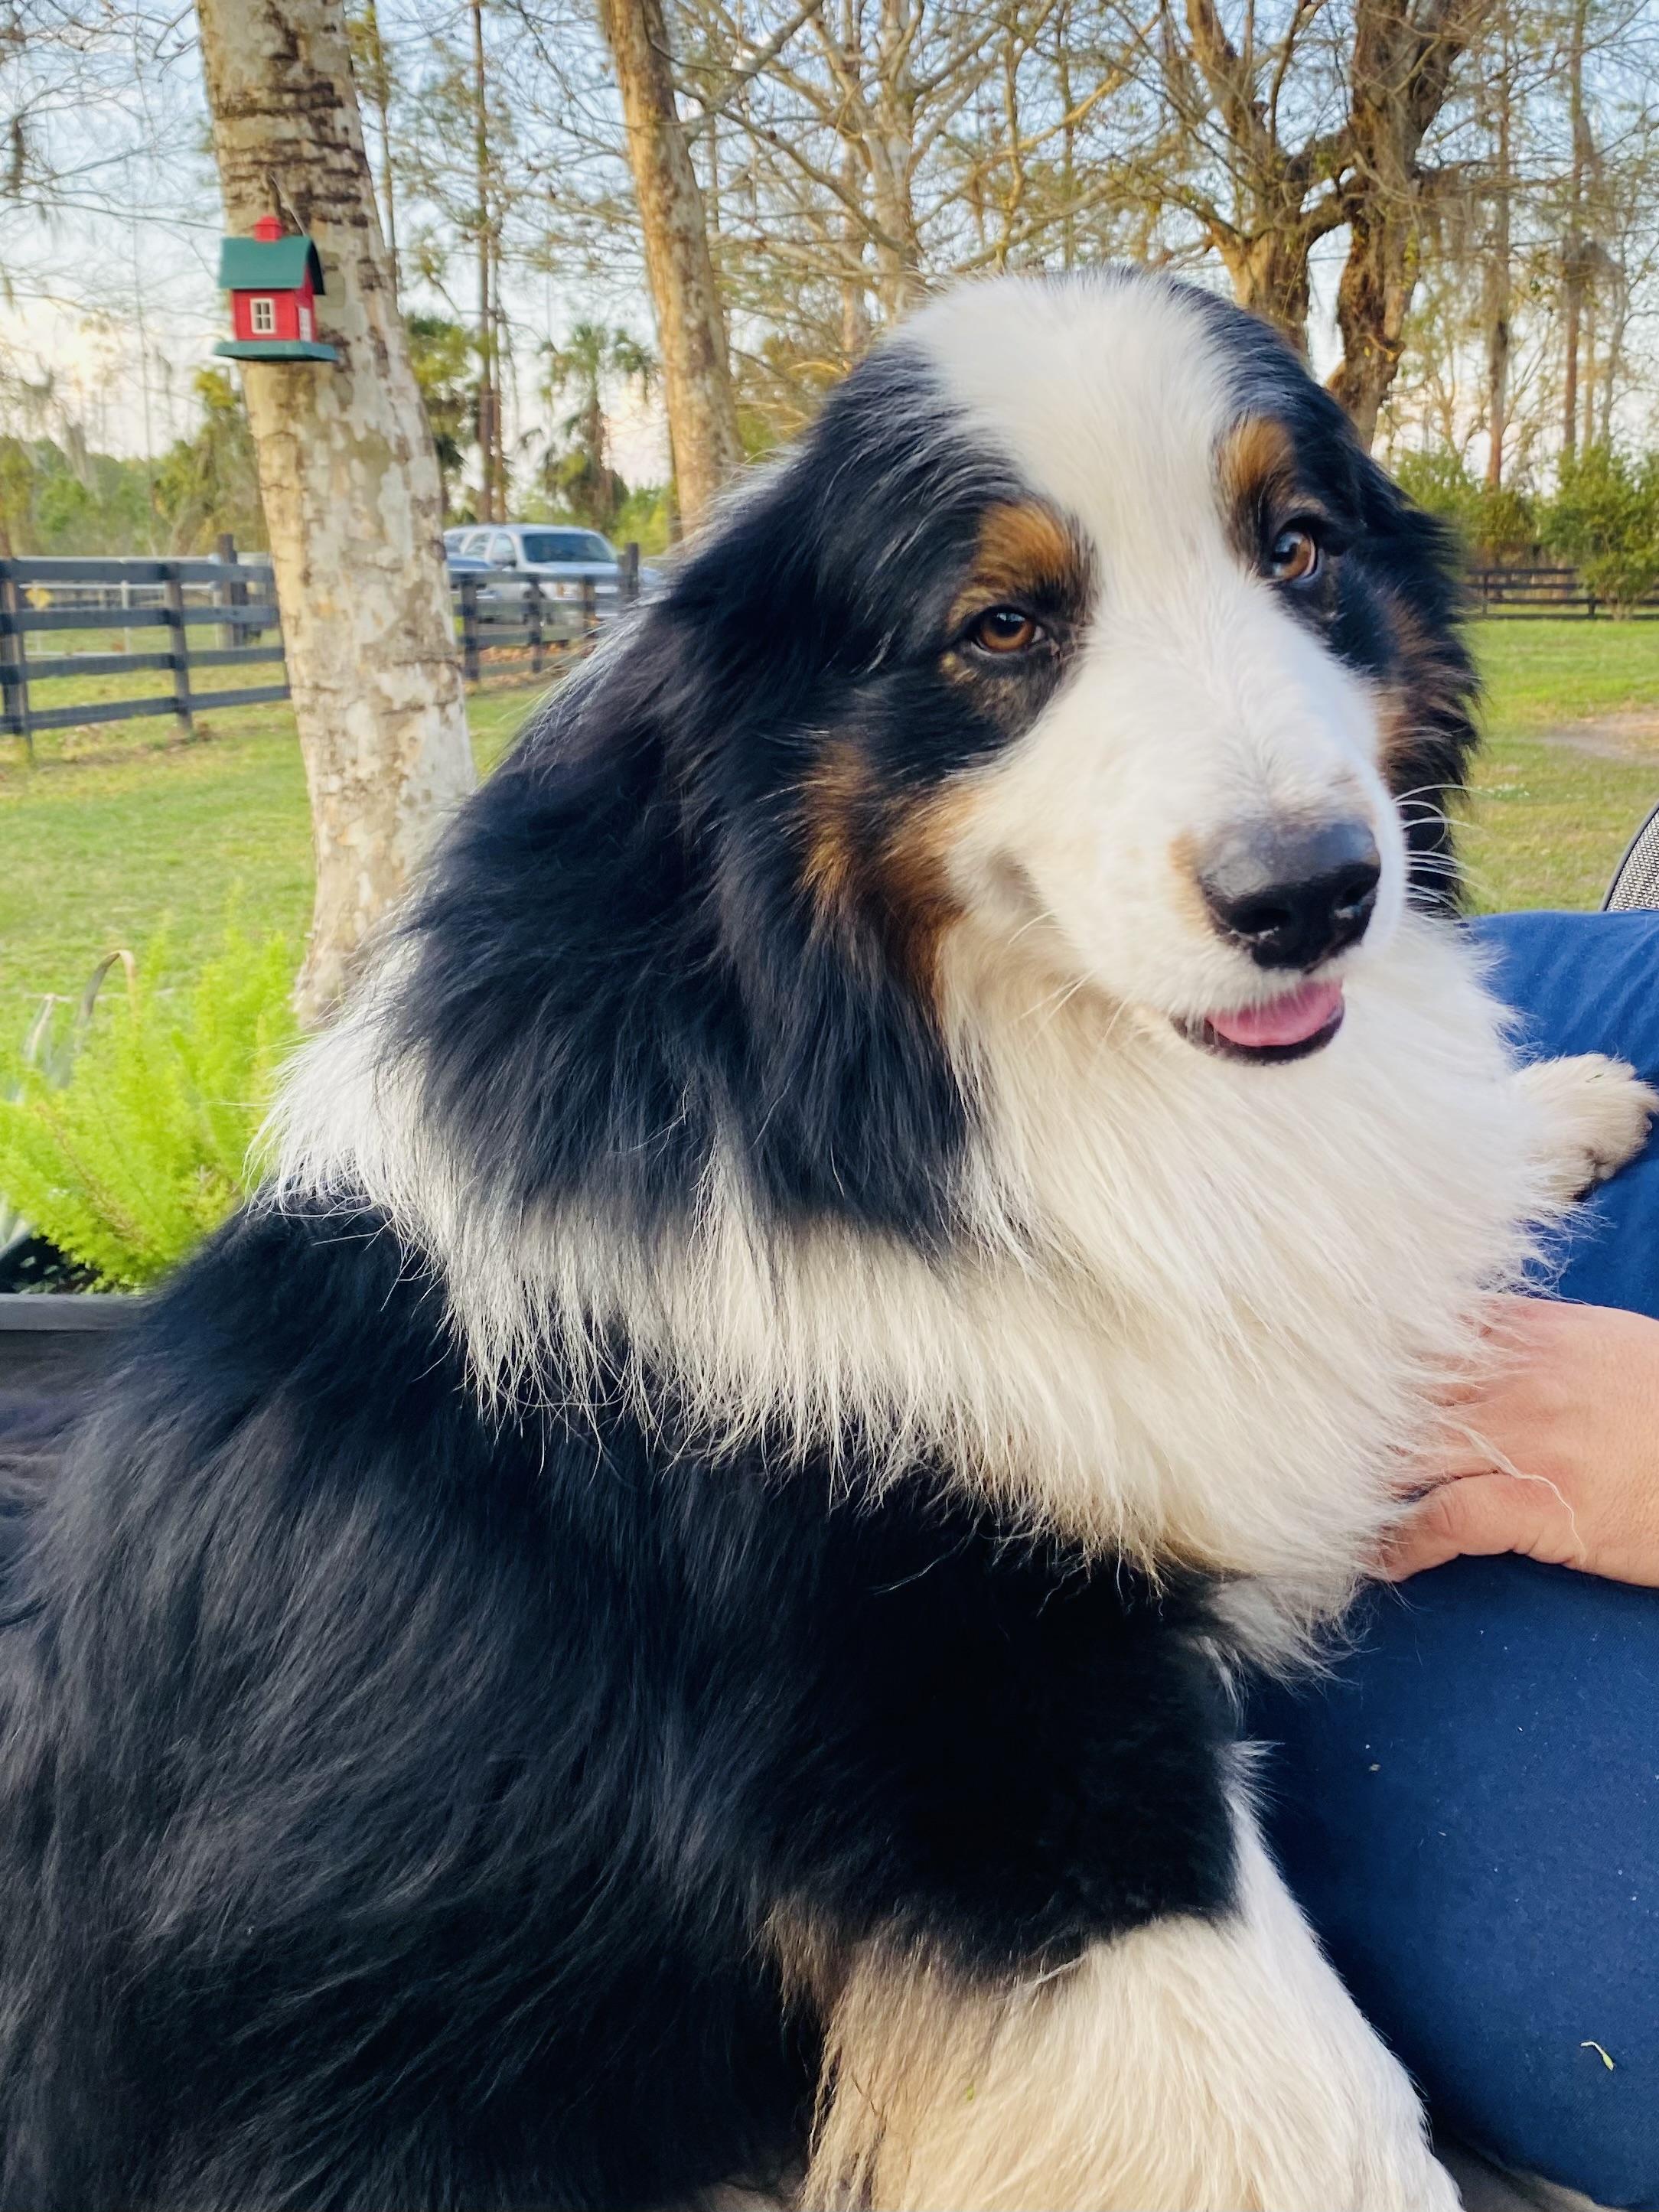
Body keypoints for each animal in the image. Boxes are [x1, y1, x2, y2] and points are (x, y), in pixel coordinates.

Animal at [0, 268, 1650, 2212]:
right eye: (1001, 627)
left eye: (1297, 546)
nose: (1312, 892)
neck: (880, 1059)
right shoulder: (982, 1725)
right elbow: (1315, 2116)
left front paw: (1552, 1107)